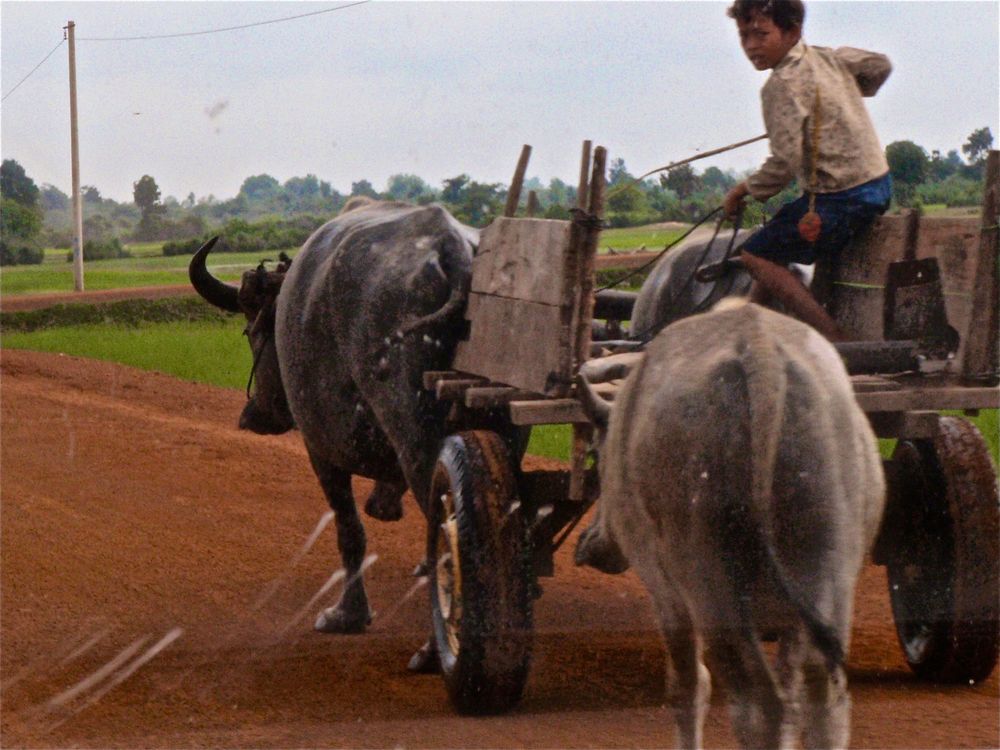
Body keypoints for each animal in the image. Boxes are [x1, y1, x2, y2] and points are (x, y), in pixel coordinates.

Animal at [191, 200, 516, 648]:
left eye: (250, 329)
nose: (255, 415)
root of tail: (452, 250)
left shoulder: (320, 449)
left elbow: (349, 529)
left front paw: (347, 614)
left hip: (415, 435)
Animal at [580, 302, 884, 750]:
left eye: (596, 457)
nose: (591, 543)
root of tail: (761, 349)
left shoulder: (666, 595)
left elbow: (688, 687)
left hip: (712, 587)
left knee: (757, 704)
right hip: (828, 572)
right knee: (822, 699)